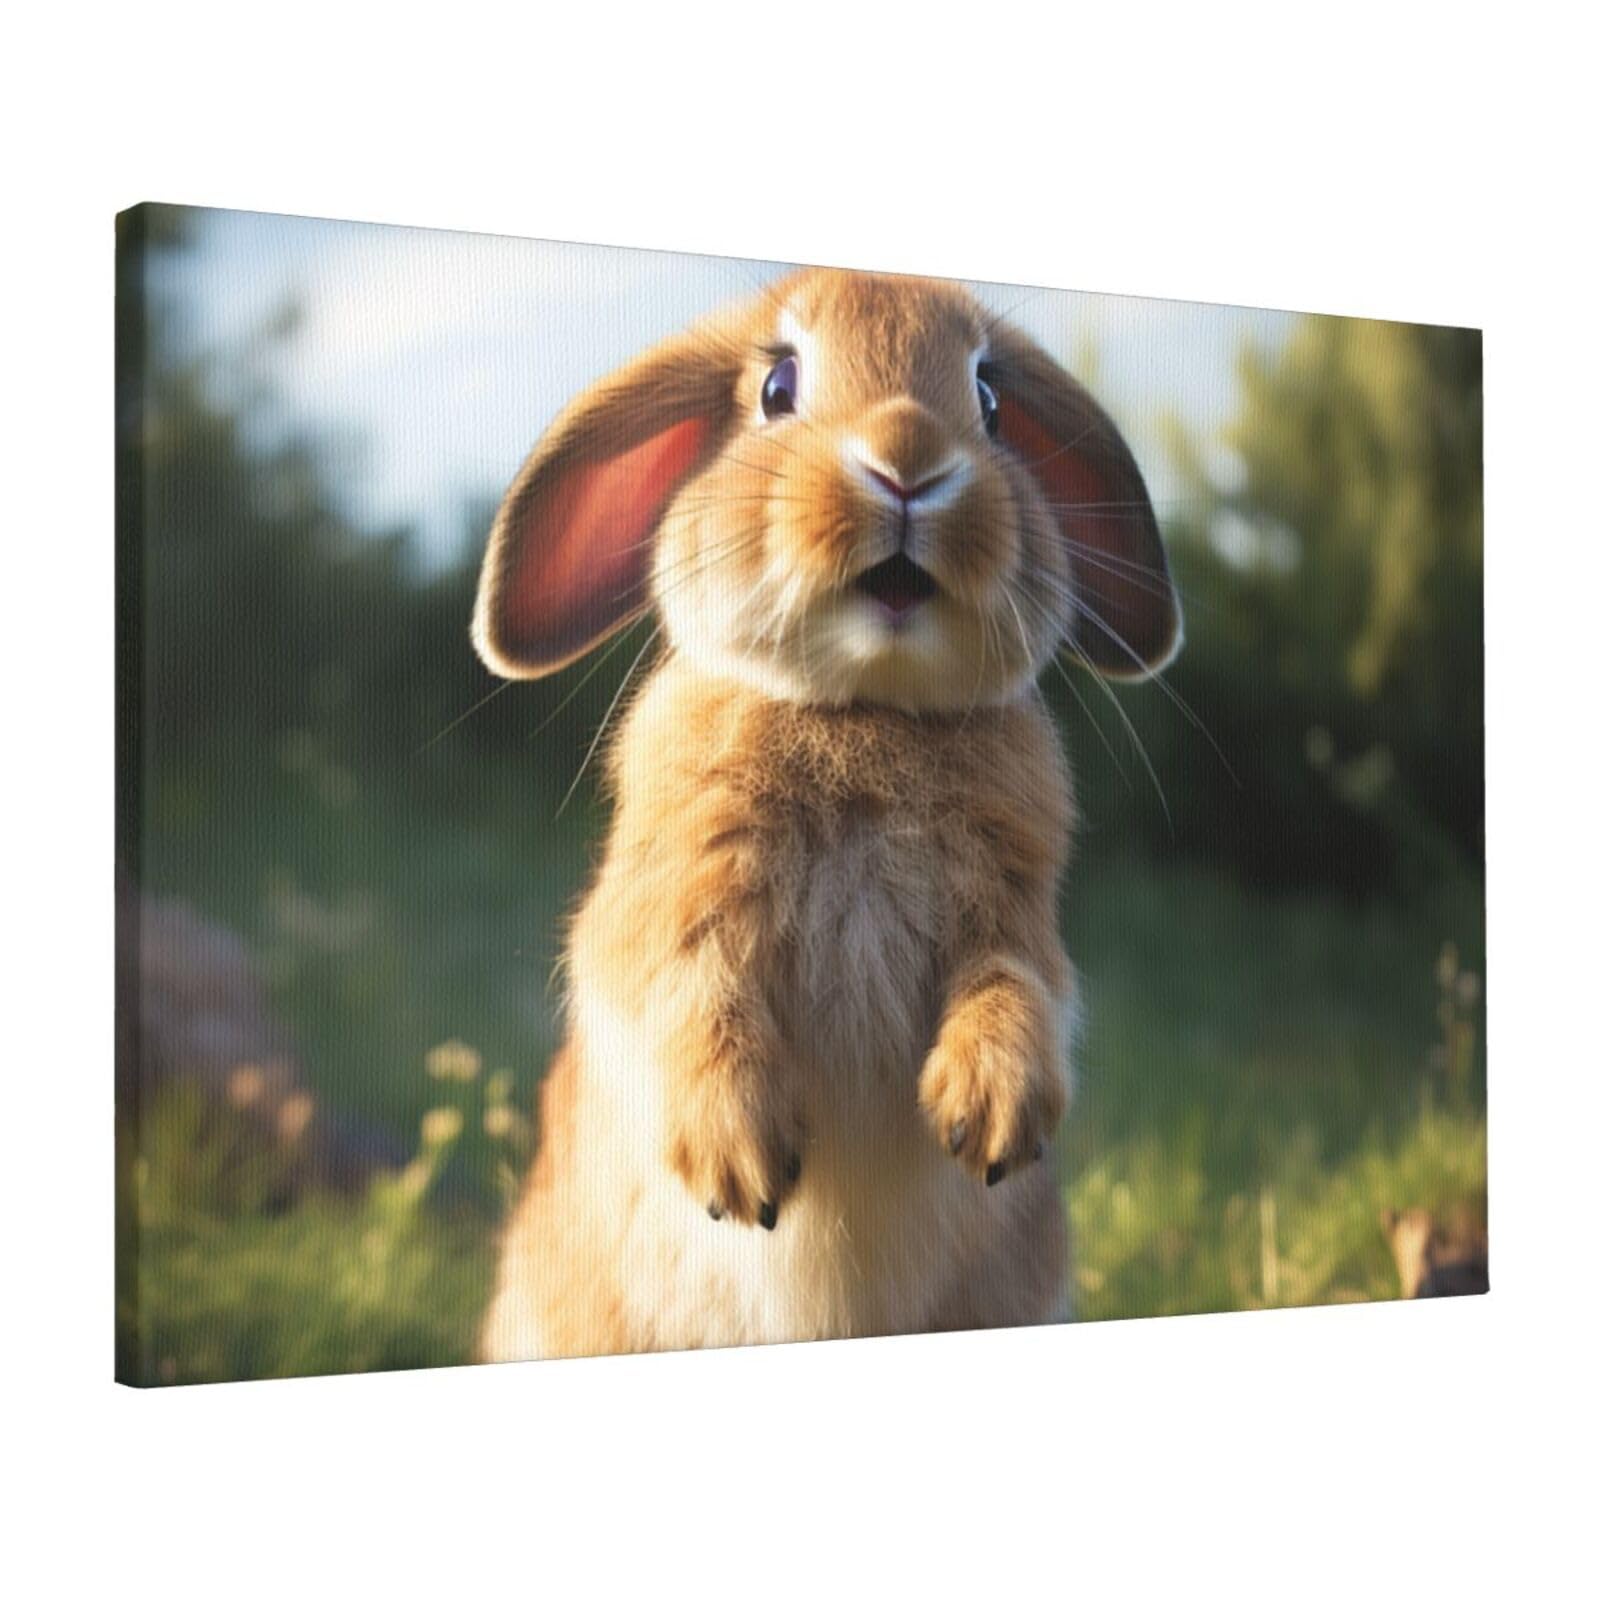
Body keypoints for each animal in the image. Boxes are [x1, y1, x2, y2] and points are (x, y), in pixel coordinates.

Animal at [472, 267, 1180, 1361]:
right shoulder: (669, 912)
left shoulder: (1014, 917)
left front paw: (986, 1119)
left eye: (988, 401)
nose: (908, 461)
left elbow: (1015, 989)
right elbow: (694, 997)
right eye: (777, 387)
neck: (864, 710)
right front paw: (739, 1170)